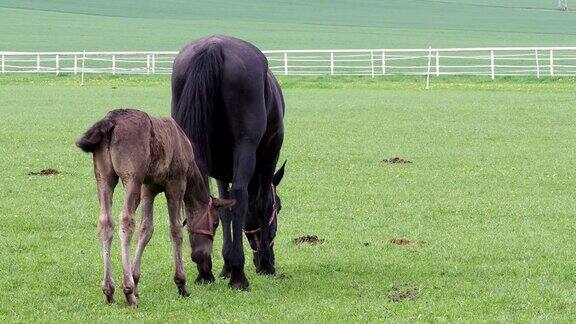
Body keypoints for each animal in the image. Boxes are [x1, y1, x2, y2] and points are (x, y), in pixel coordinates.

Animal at [77, 109, 234, 306]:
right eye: (215, 223)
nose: (205, 259)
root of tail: (110, 122)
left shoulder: (148, 188)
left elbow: (146, 229)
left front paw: (136, 280)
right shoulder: (176, 184)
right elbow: (175, 229)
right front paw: (181, 283)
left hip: (104, 177)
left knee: (105, 221)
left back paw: (109, 289)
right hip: (132, 177)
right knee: (126, 219)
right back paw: (127, 290)